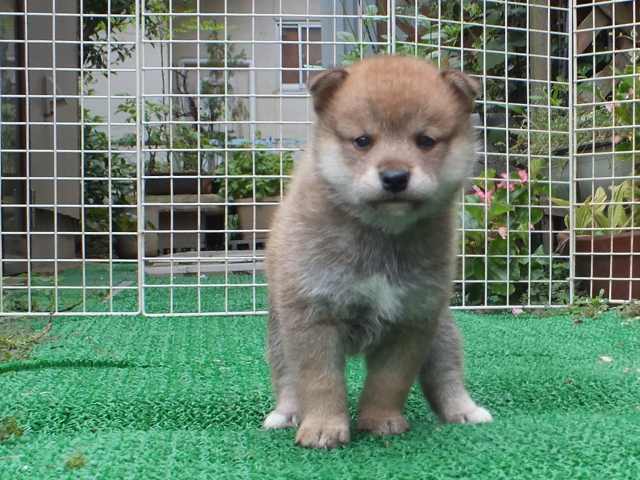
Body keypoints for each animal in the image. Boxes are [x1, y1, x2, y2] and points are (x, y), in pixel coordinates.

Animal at [262, 54, 492, 448]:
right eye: (363, 140)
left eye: (425, 140)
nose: (395, 177)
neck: (381, 235)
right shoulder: (313, 315)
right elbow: (319, 381)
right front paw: (323, 428)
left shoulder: (412, 320)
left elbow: (389, 382)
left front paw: (380, 419)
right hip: (281, 329)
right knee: (287, 378)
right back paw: (286, 413)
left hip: (442, 329)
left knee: (446, 373)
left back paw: (464, 411)